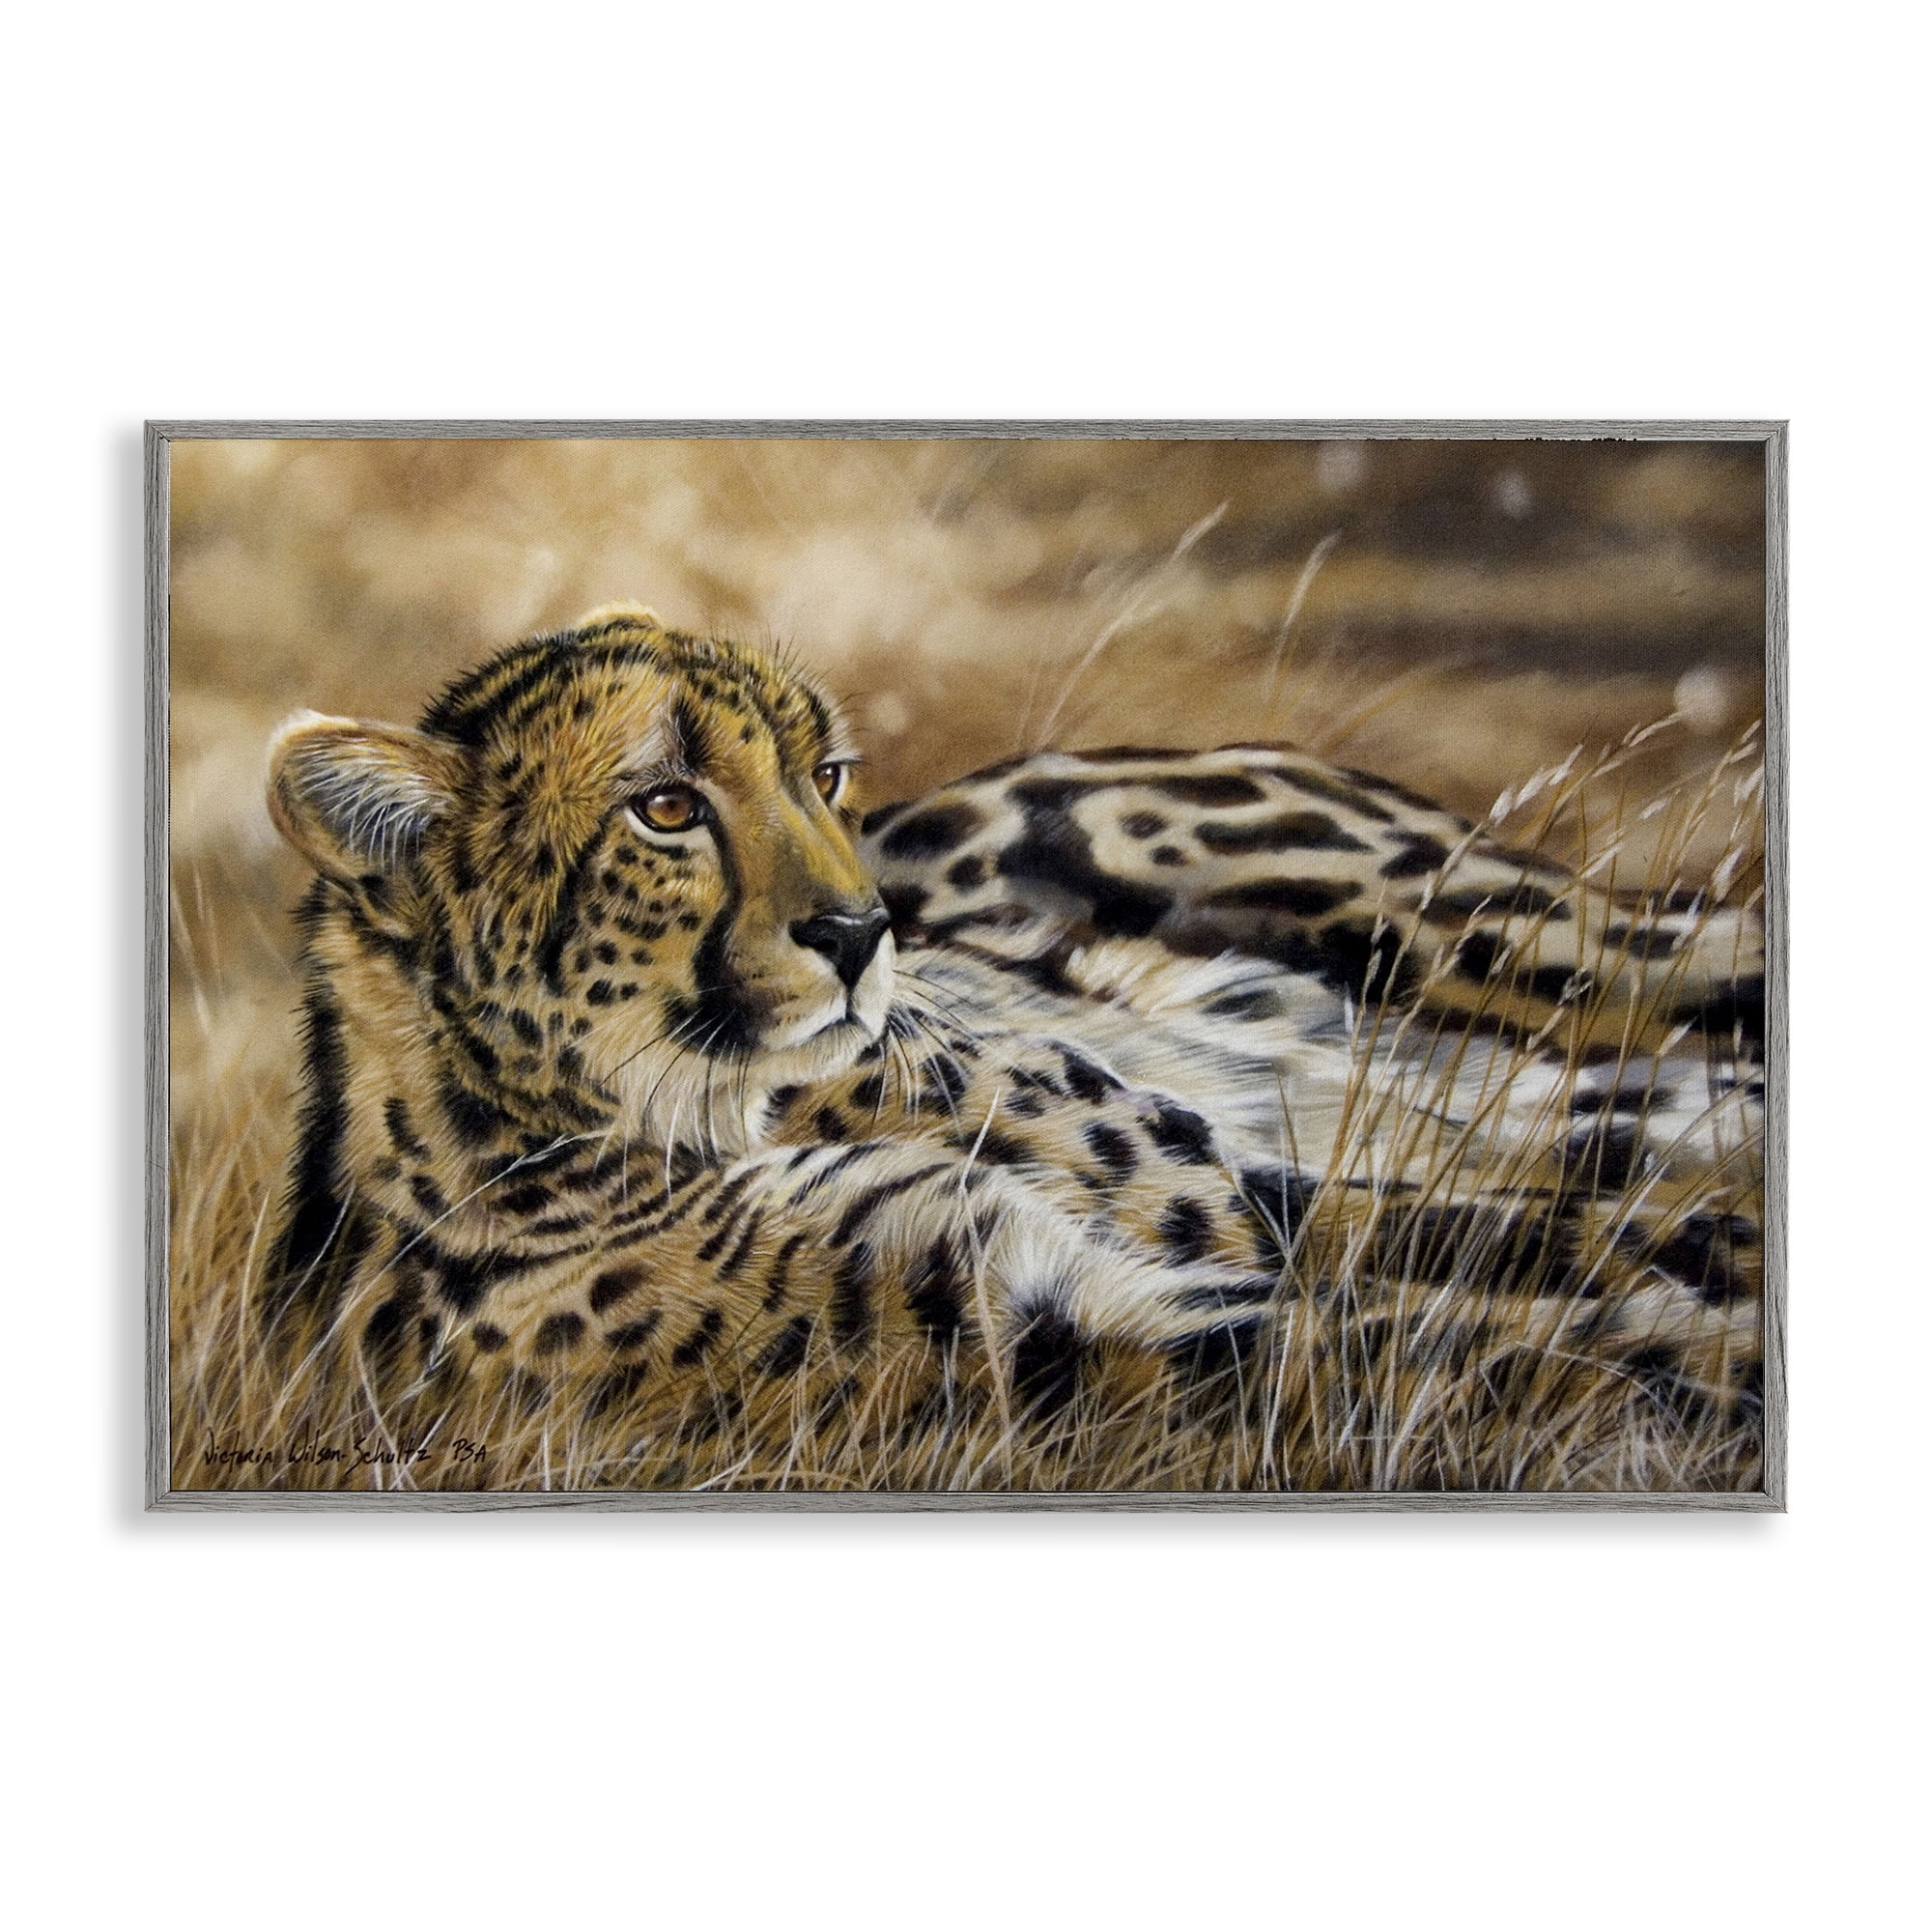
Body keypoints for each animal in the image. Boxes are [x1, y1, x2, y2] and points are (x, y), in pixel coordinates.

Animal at [257, 602, 1765, 1490]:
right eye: (667, 806)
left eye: (824, 775)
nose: (864, 928)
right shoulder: (1064, 1327)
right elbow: (1485, 1331)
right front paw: (1717, 1353)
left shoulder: (1219, 1203)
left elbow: (1540, 1252)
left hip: (1499, 935)